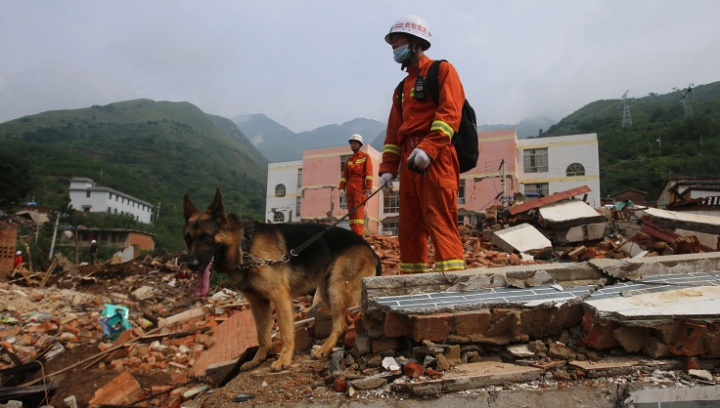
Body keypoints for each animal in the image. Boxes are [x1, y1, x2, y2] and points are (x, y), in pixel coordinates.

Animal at [183, 190, 380, 372]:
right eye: (187, 239)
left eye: (206, 238)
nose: (191, 265)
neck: (244, 246)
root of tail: (371, 250)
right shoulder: (258, 303)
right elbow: (262, 335)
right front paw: (258, 360)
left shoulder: (280, 297)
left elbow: (285, 332)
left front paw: (284, 359)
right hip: (327, 291)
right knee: (345, 320)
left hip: (336, 289)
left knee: (339, 324)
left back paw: (325, 348)